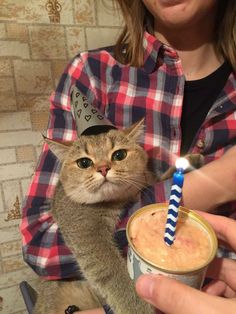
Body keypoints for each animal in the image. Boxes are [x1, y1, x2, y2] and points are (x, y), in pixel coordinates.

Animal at [32, 120, 203, 314]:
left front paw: (190, 162)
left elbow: (161, 179)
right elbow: (114, 275)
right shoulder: (87, 234)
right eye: (84, 162)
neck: (115, 202)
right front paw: (138, 307)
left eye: (119, 155)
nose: (103, 168)